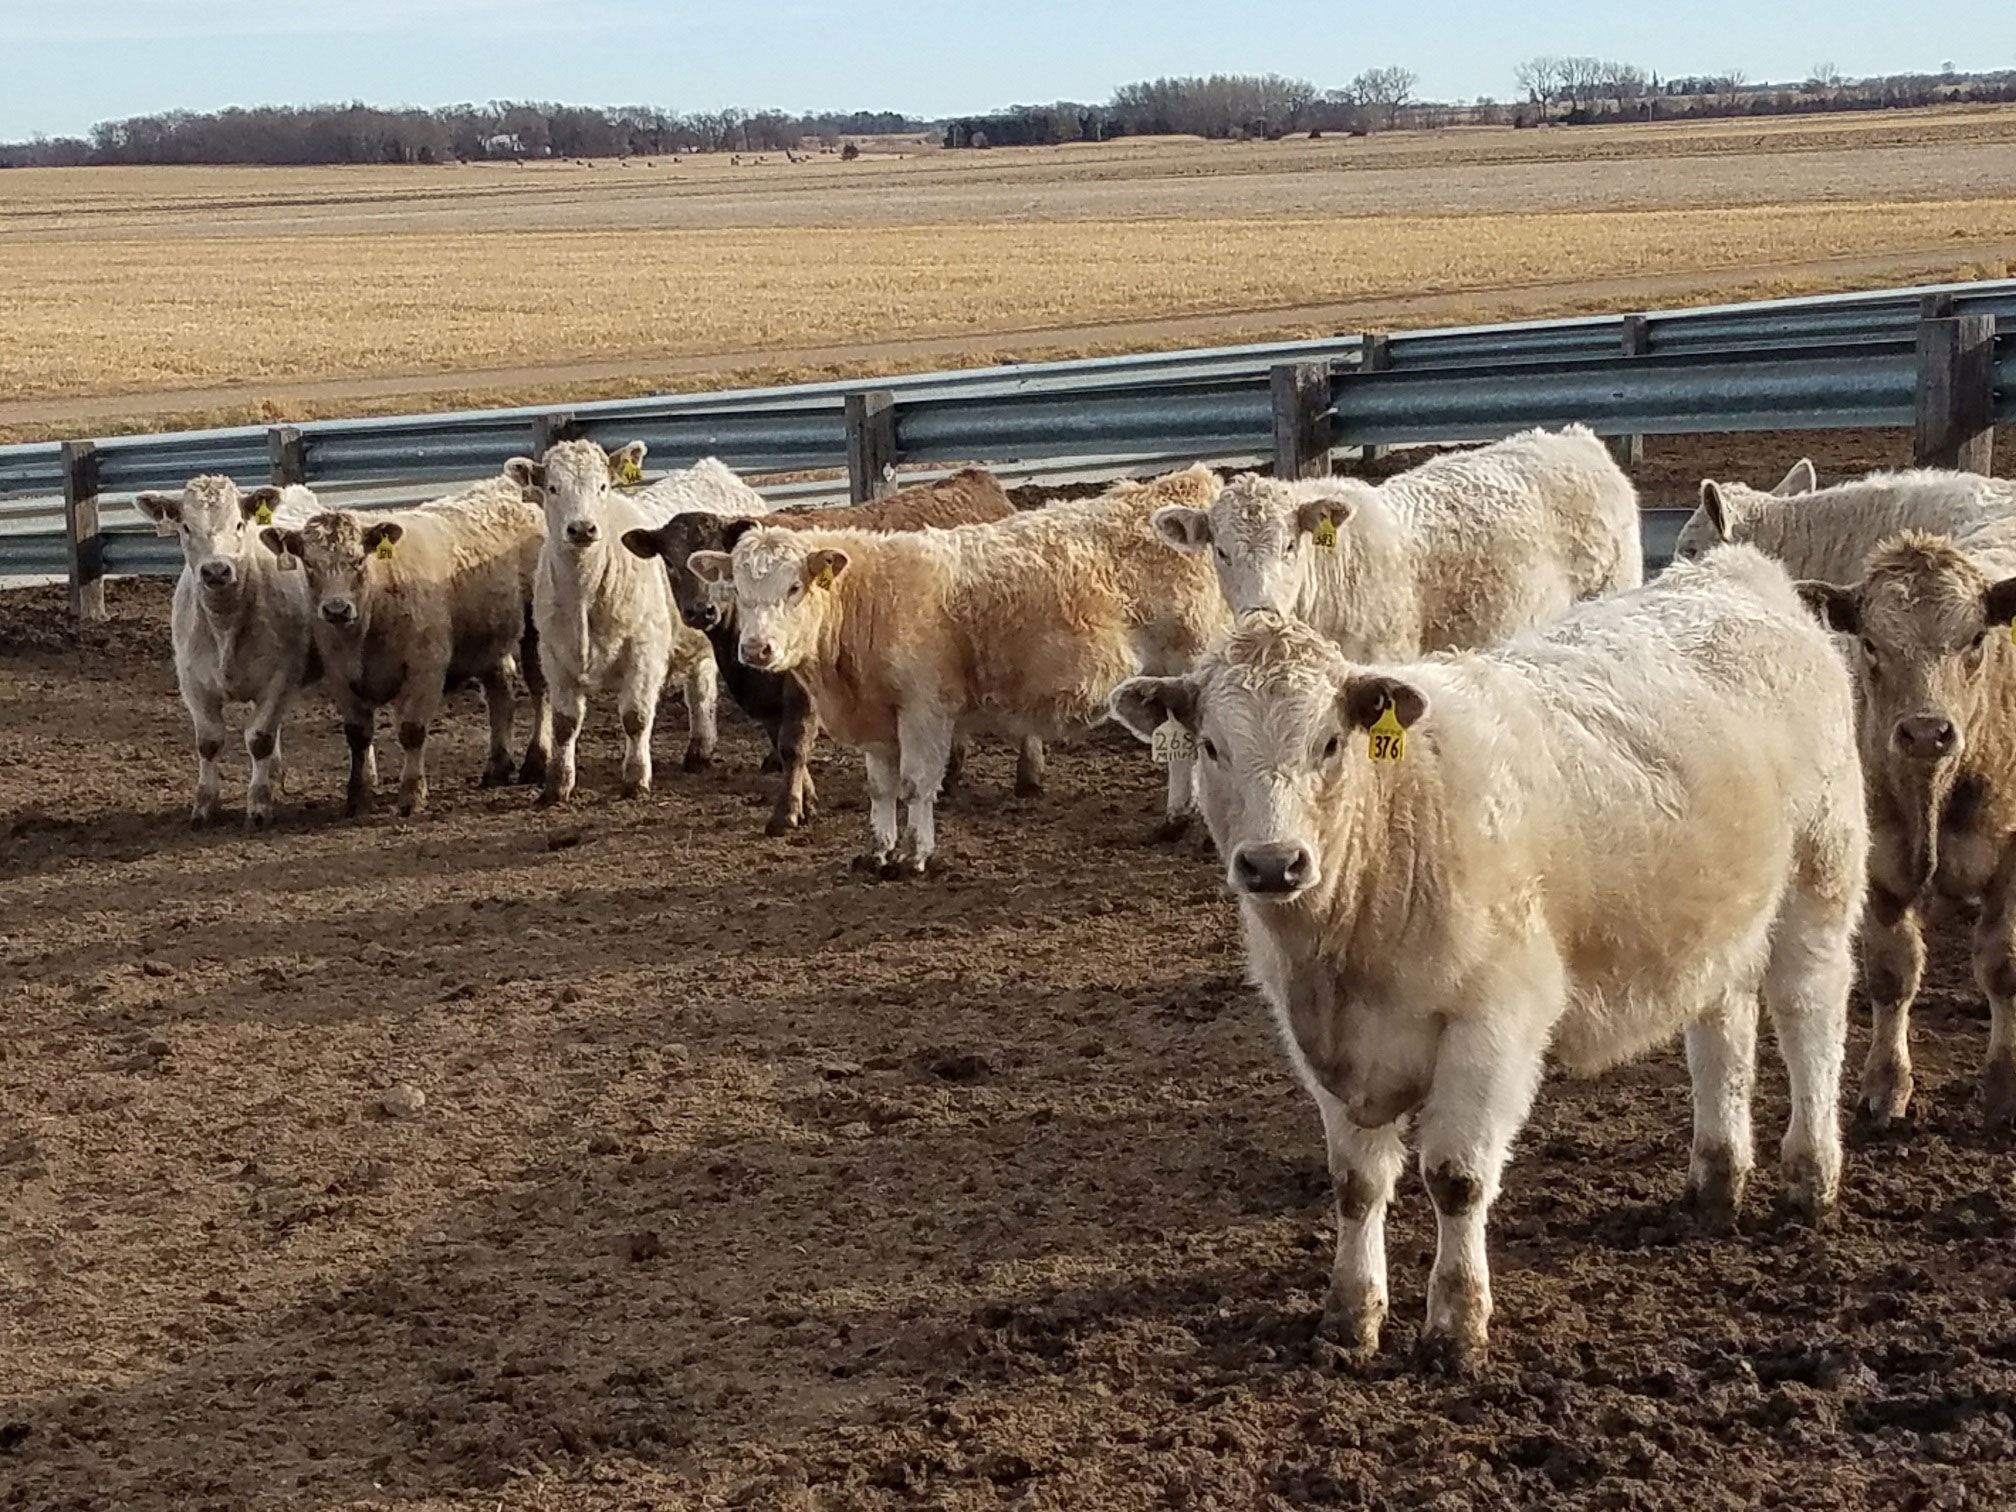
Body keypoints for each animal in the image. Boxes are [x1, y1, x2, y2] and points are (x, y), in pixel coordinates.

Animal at [693, 467, 1225, 883]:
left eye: (794, 587)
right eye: (737, 588)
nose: (756, 648)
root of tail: (1181, 483)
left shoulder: (925, 710)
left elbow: (915, 784)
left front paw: (914, 856)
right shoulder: (877, 722)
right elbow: (881, 789)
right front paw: (877, 852)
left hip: (1190, 658)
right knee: (1177, 744)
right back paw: (1173, 822)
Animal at [1112, 544, 1862, 1370]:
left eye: (1329, 743)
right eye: (1213, 746)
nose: (1274, 864)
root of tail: (1734, 571)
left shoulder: (1495, 1022)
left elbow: (1457, 1178)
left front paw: (1455, 1324)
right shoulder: (1322, 1047)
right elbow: (1355, 1183)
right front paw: (1349, 1315)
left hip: (1819, 881)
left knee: (1810, 1017)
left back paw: (1811, 1176)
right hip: (1717, 920)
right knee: (1720, 1035)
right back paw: (1716, 1179)